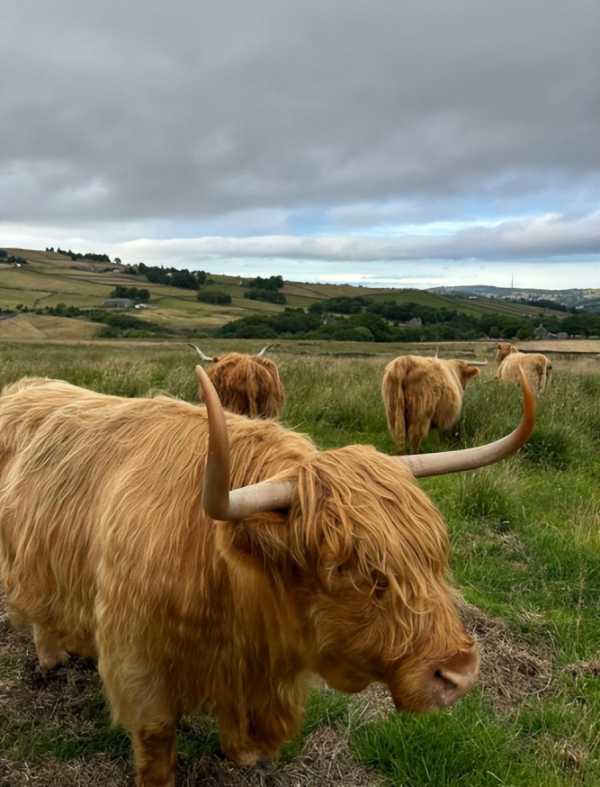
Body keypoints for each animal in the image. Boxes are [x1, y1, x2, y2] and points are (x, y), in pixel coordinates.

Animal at [0, 370, 536, 787]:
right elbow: (155, 739)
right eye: (347, 569)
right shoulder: (138, 660)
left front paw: (245, 757)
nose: (460, 674)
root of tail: (26, 386)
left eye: (433, 554)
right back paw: (50, 659)